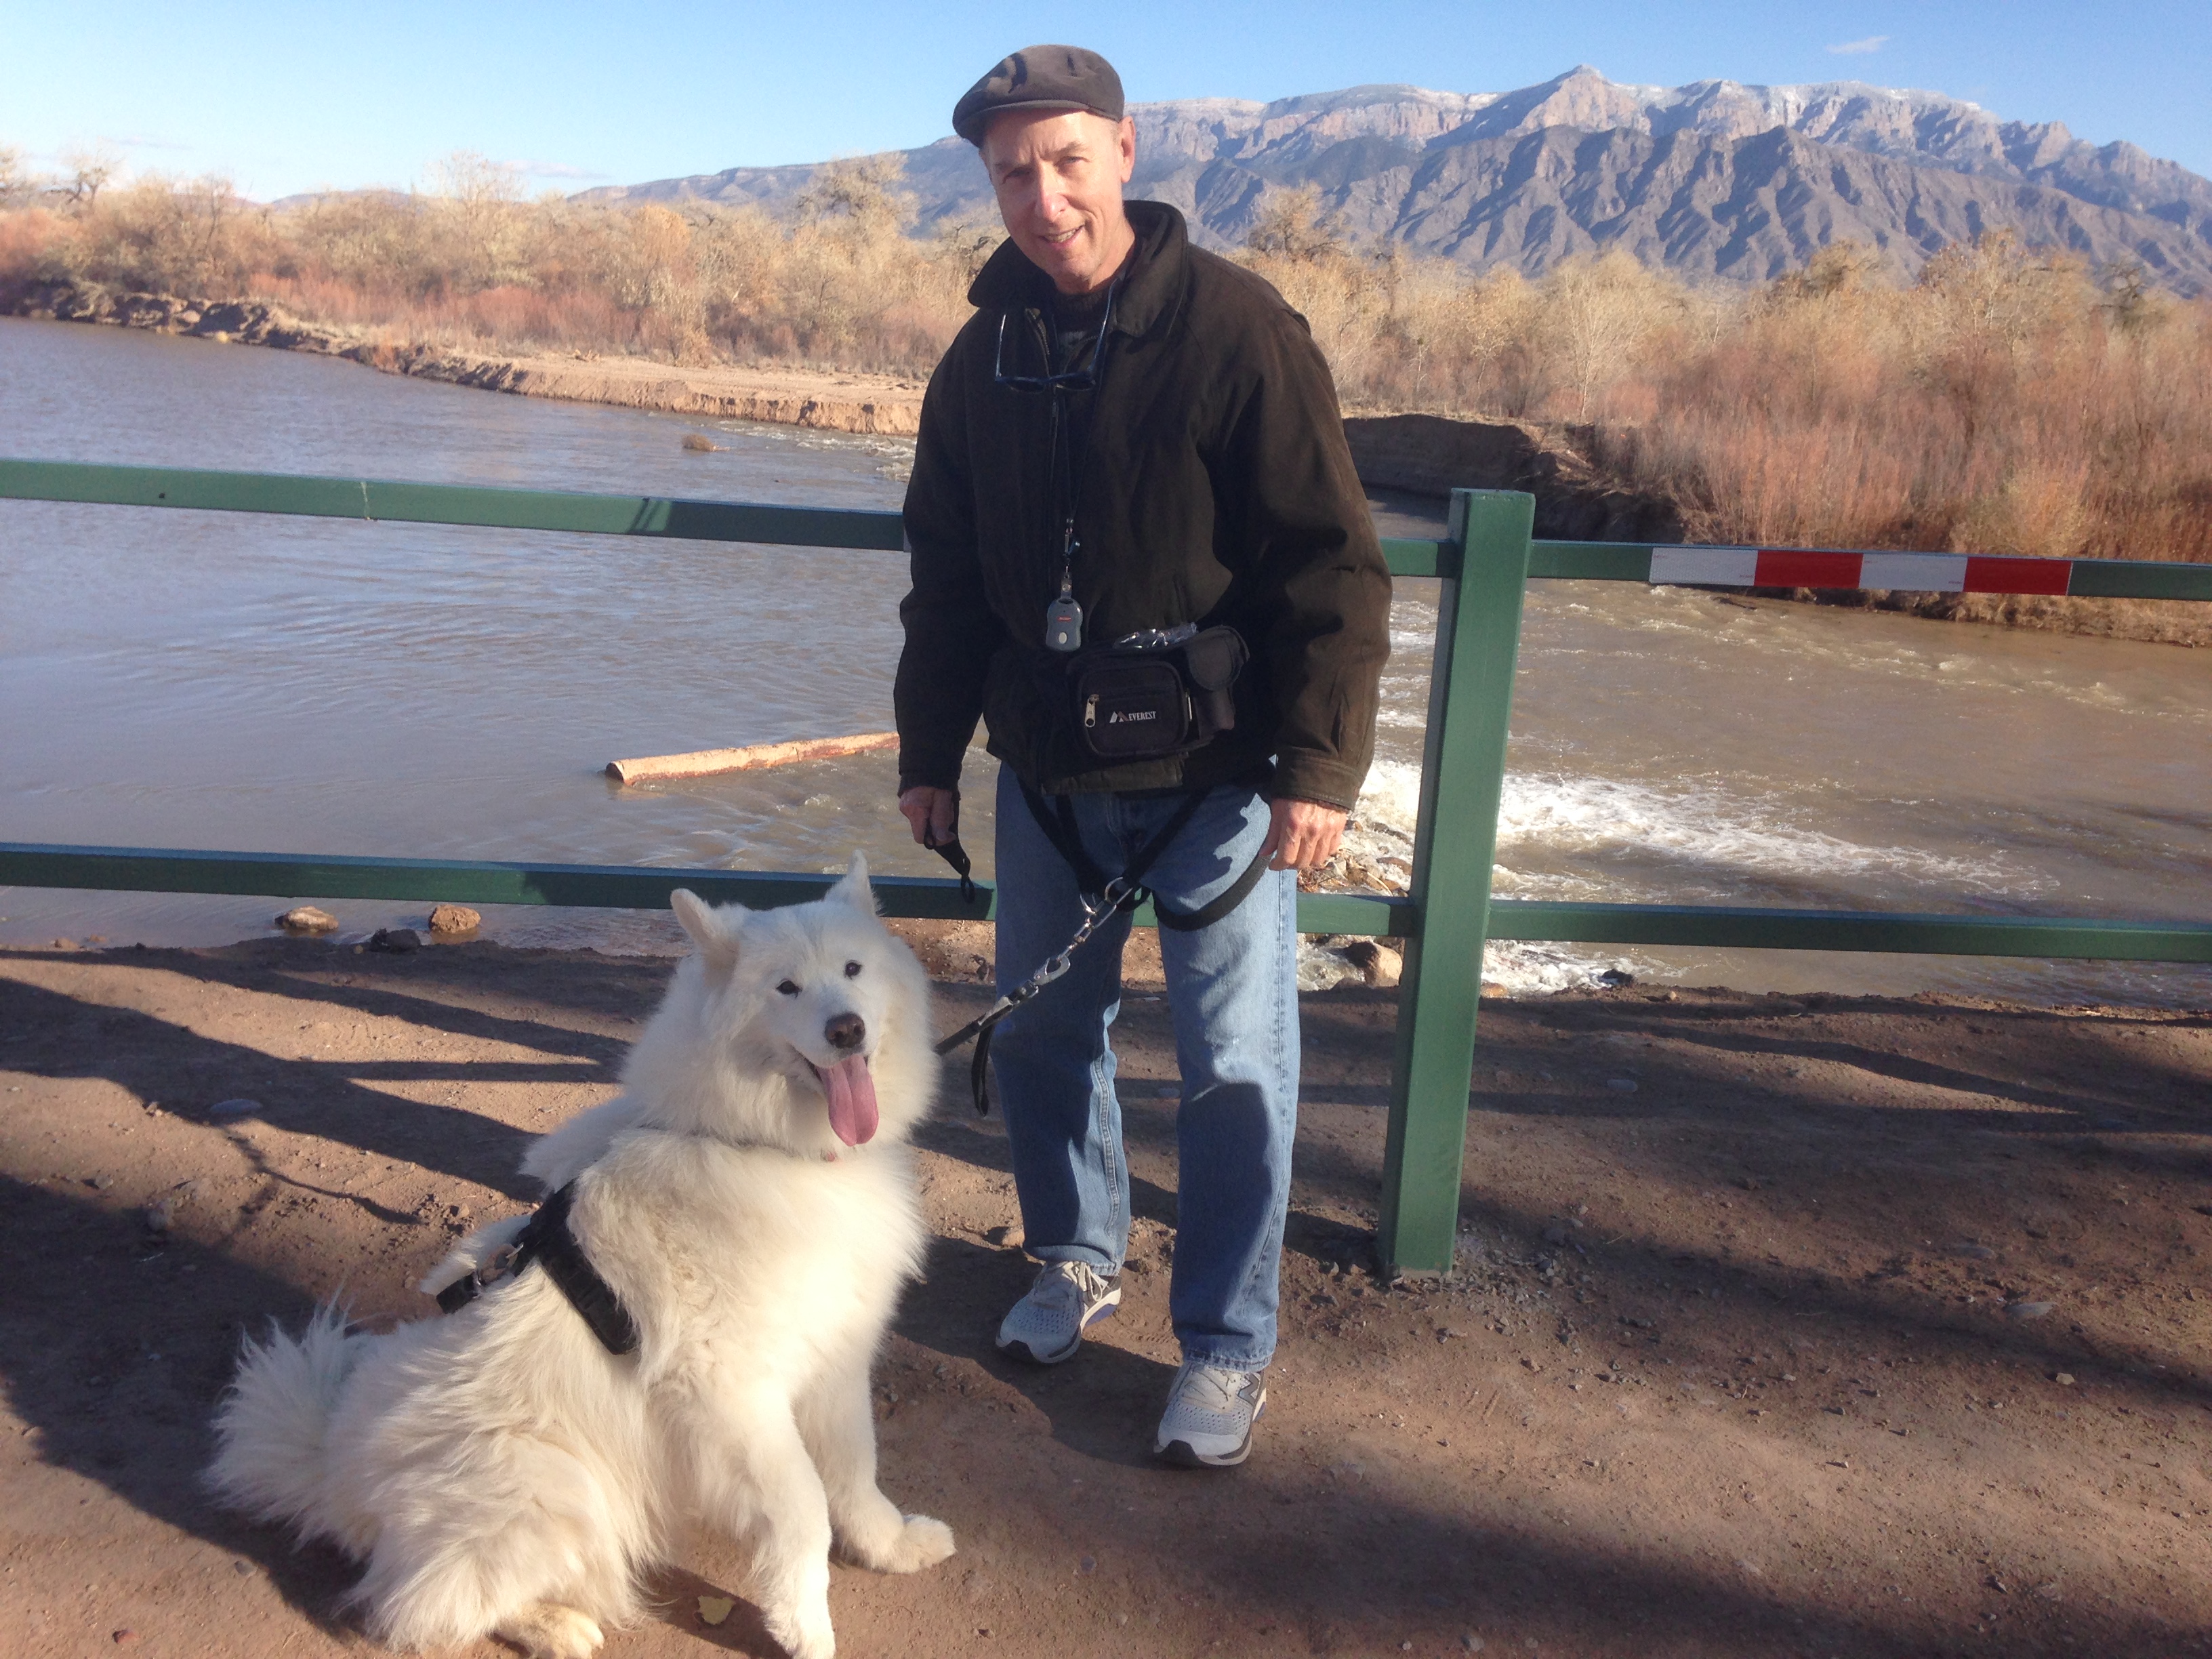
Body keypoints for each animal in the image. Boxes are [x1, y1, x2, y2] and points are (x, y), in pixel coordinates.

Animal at [209, 872, 960, 1659]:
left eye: (853, 970)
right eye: (786, 987)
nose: (846, 1029)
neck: (762, 1147)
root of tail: (332, 1471)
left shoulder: (835, 1362)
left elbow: (855, 1475)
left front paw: (891, 1548)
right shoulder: (732, 1394)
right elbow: (803, 1508)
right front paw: (806, 1630)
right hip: (554, 1482)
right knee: (422, 1606)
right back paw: (557, 1626)